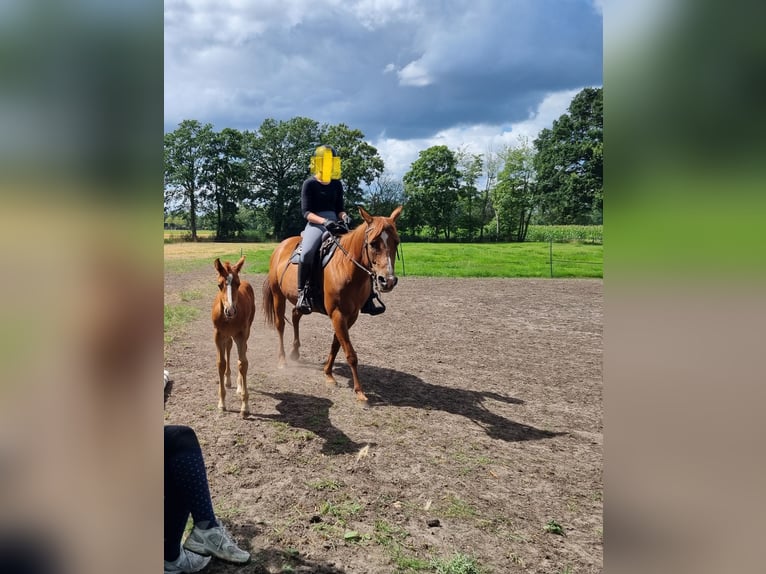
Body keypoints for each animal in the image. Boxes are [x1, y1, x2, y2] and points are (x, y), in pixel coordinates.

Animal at [211, 256, 256, 417]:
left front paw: (245, 406)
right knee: (229, 348)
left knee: (240, 353)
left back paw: (238, 385)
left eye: (237, 283)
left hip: (245, 332)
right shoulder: (218, 335)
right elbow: (221, 363)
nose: (230, 311)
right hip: (227, 336)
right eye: (219, 285)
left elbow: (243, 363)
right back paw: (228, 380)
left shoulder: (241, 334)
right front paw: (222, 403)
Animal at [262, 206, 402, 405]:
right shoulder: (337, 314)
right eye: (373, 243)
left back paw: (295, 352)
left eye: (396, 242)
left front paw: (328, 374)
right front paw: (359, 392)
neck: (346, 268)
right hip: (277, 295)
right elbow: (350, 353)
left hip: (301, 303)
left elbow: (336, 345)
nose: (388, 281)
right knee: (280, 325)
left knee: (296, 316)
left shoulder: (350, 316)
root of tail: (280, 247)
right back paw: (282, 360)